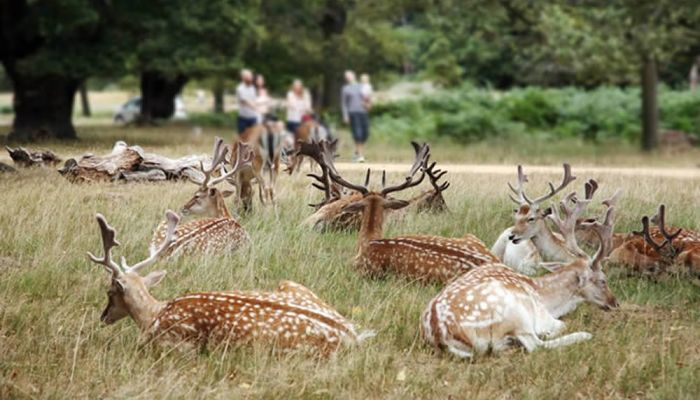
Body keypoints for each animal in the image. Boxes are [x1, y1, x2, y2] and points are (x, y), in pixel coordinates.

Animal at [91, 209, 378, 354]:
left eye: (109, 292)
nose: (103, 317)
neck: (153, 315)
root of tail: (352, 335)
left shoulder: (176, 345)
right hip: (291, 283)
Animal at [422, 205, 616, 358]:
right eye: (603, 280)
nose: (615, 303)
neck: (545, 296)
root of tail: (441, 336)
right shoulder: (542, 316)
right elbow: (560, 325)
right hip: (515, 314)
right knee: (536, 346)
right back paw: (583, 335)